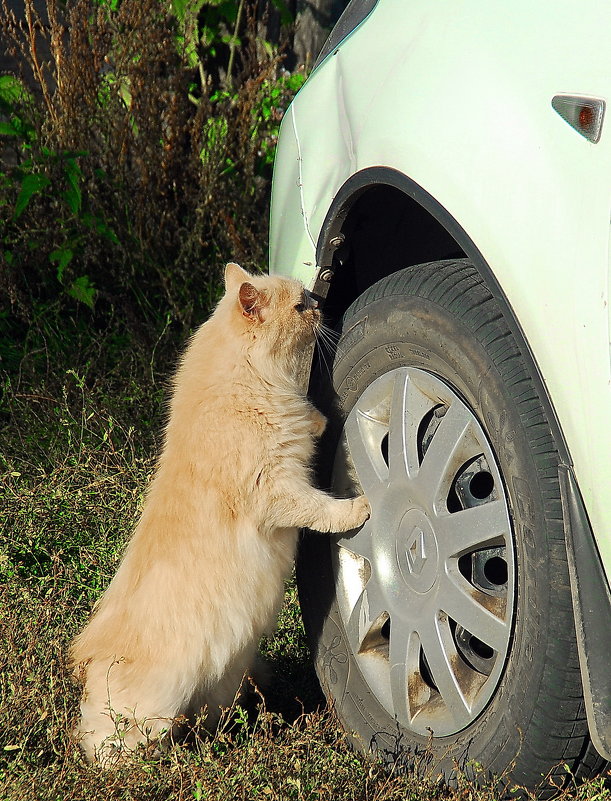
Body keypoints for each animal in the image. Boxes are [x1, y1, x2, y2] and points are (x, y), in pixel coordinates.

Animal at [69, 260, 370, 764]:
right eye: (300, 306)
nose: (320, 303)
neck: (247, 380)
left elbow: (313, 421)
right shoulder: (278, 490)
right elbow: (322, 508)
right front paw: (359, 508)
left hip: (226, 683)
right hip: (148, 719)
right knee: (116, 746)